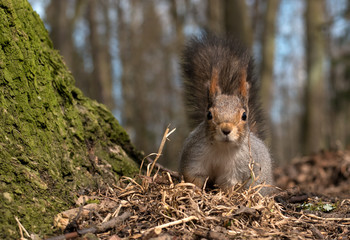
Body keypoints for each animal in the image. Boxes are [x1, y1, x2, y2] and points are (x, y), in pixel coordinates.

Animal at [180, 33, 274, 195]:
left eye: (244, 116)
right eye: (209, 114)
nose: (226, 130)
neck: (222, 149)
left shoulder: (238, 170)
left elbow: (228, 186)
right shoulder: (194, 156)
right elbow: (194, 177)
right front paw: (195, 191)